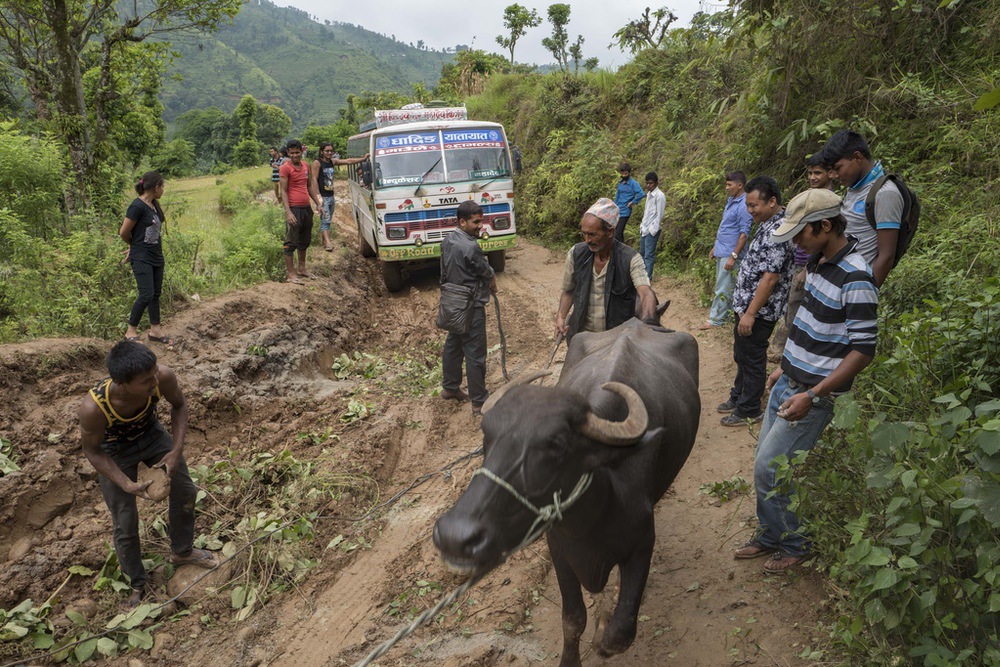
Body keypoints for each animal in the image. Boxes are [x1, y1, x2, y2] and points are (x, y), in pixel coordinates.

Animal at [434, 316, 700, 664]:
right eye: (486, 437)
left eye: (557, 444)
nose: (454, 536)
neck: (596, 515)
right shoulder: (558, 548)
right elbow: (573, 619)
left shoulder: (643, 545)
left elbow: (619, 634)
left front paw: (604, 625)